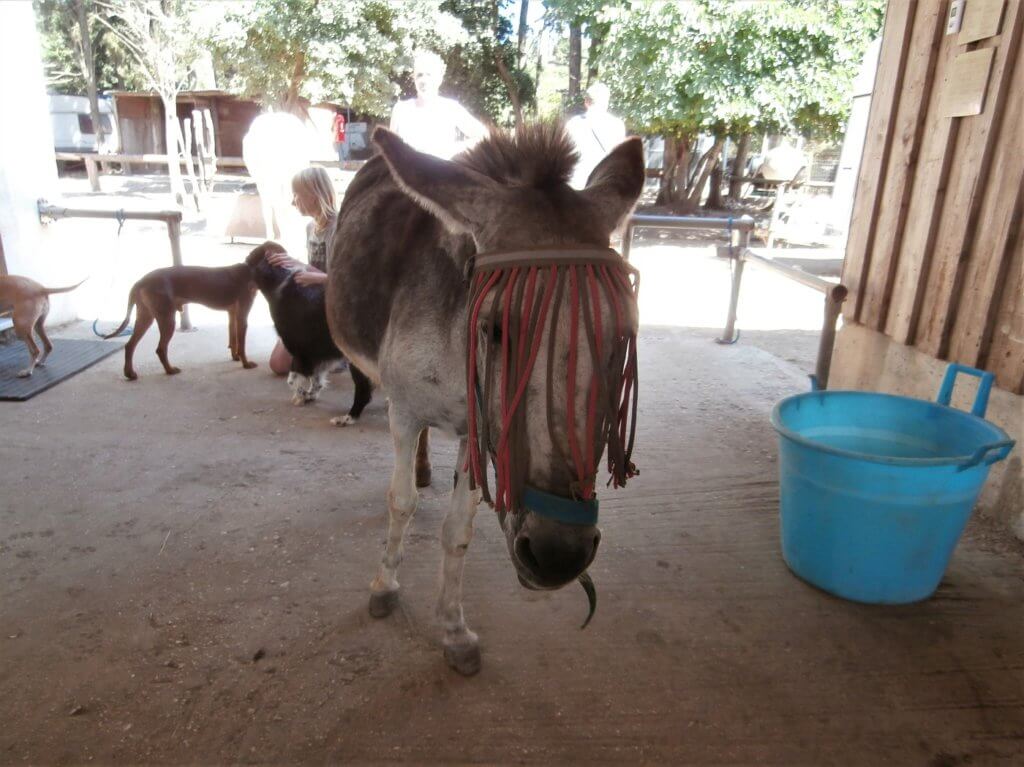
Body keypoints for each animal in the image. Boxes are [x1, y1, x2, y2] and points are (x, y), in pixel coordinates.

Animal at [104, 264, 258, 380]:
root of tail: (141, 281)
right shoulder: (242, 316)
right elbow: (242, 345)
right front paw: (246, 363)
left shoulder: (232, 314)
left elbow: (233, 340)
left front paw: (235, 356)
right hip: (167, 319)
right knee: (160, 349)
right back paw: (170, 370)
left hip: (146, 317)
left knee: (130, 345)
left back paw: (129, 373)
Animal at [245, 240, 374, 423]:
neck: (279, 283)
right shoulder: (317, 356)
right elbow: (316, 379)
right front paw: (310, 395)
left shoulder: (300, 353)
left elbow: (292, 380)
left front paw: (301, 397)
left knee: (363, 391)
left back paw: (347, 418)